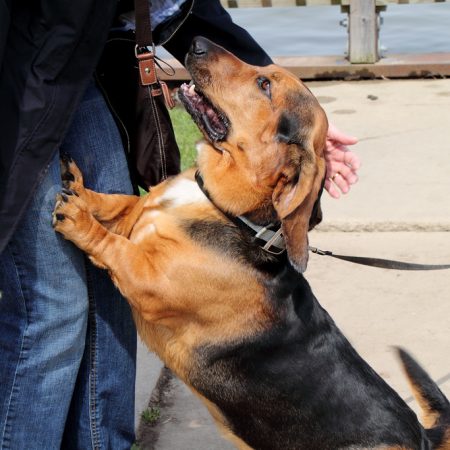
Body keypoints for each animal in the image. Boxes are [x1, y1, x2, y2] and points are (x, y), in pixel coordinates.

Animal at [51, 37, 446, 448]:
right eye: (264, 75)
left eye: (264, 85)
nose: (197, 42)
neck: (226, 209)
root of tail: (423, 435)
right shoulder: (135, 214)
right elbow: (118, 202)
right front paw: (80, 188)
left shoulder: (148, 281)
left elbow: (115, 246)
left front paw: (79, 219)